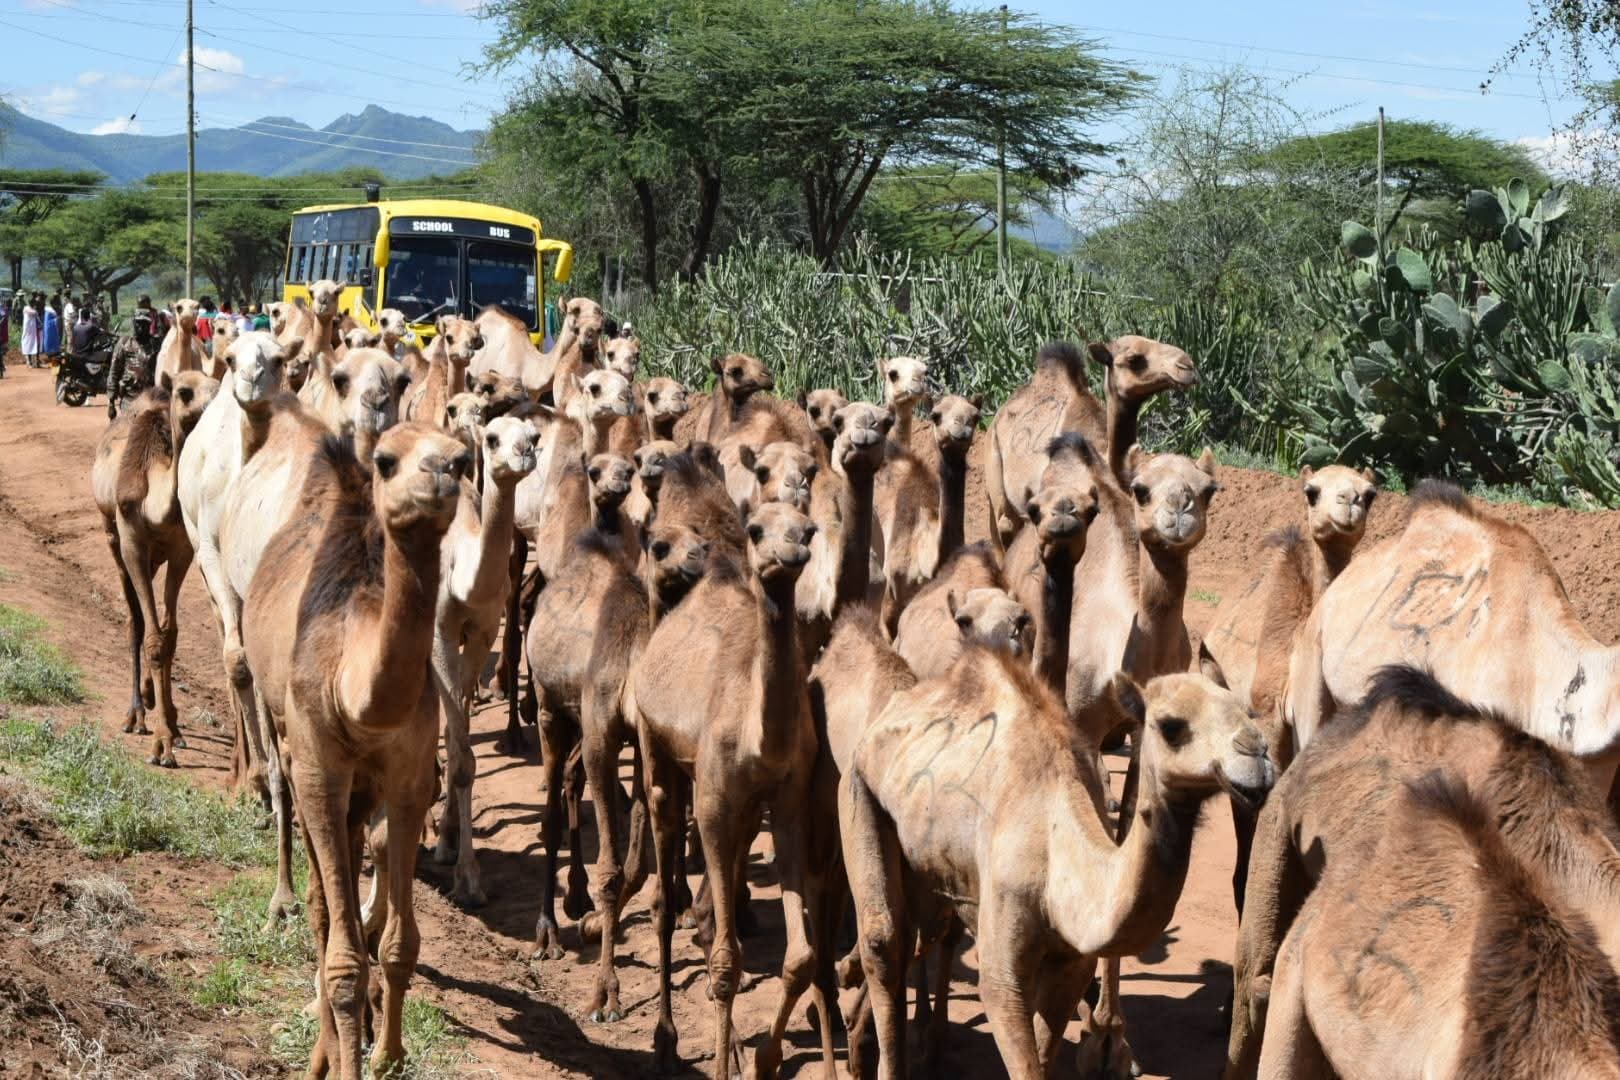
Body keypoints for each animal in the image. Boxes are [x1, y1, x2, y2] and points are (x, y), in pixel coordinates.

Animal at [92, 371, 218, 766]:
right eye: (185, 392)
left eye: (218, 386)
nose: (212, 409)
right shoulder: (132, 542)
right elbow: (150, 636)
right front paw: (160, 743)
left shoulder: (181, 550)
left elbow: (169, 635)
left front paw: (173, 729)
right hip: (112, 536)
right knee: (135, 620)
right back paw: (136, 712)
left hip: (155, 557)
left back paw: (154, 701)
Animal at [242, 422, 469, 1080]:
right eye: (387, 460)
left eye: (464, 457)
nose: (443, 471)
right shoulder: (318, 768)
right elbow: (343, 957)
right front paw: (346, 1060)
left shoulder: (410, 778)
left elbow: (399, 944)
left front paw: (389, 1055)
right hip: (293, 746)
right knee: (321, 905)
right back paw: (322, 1048)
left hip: (362, 790)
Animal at [629, 501, 831, 1078]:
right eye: (756, 529)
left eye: (809, 528)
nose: (792, 550)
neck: (758, 738)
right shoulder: (715, 806)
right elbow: (724, 962)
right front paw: (726, 1063)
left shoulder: (788, 803)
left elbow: (801, 958)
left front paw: (765, 1058)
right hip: (657, 750)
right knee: (663, 888)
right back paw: (666, 1040)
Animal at [841, 656, 1272, 1080]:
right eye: (1171, 726)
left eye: (1248, 713)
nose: (1258, 756)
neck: (1057, 864)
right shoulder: (1003, 960)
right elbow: (1007, 1014)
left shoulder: (1073, 967)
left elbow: (1046, 1053)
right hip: (856, 789)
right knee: (884, 940)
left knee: (922, 933)